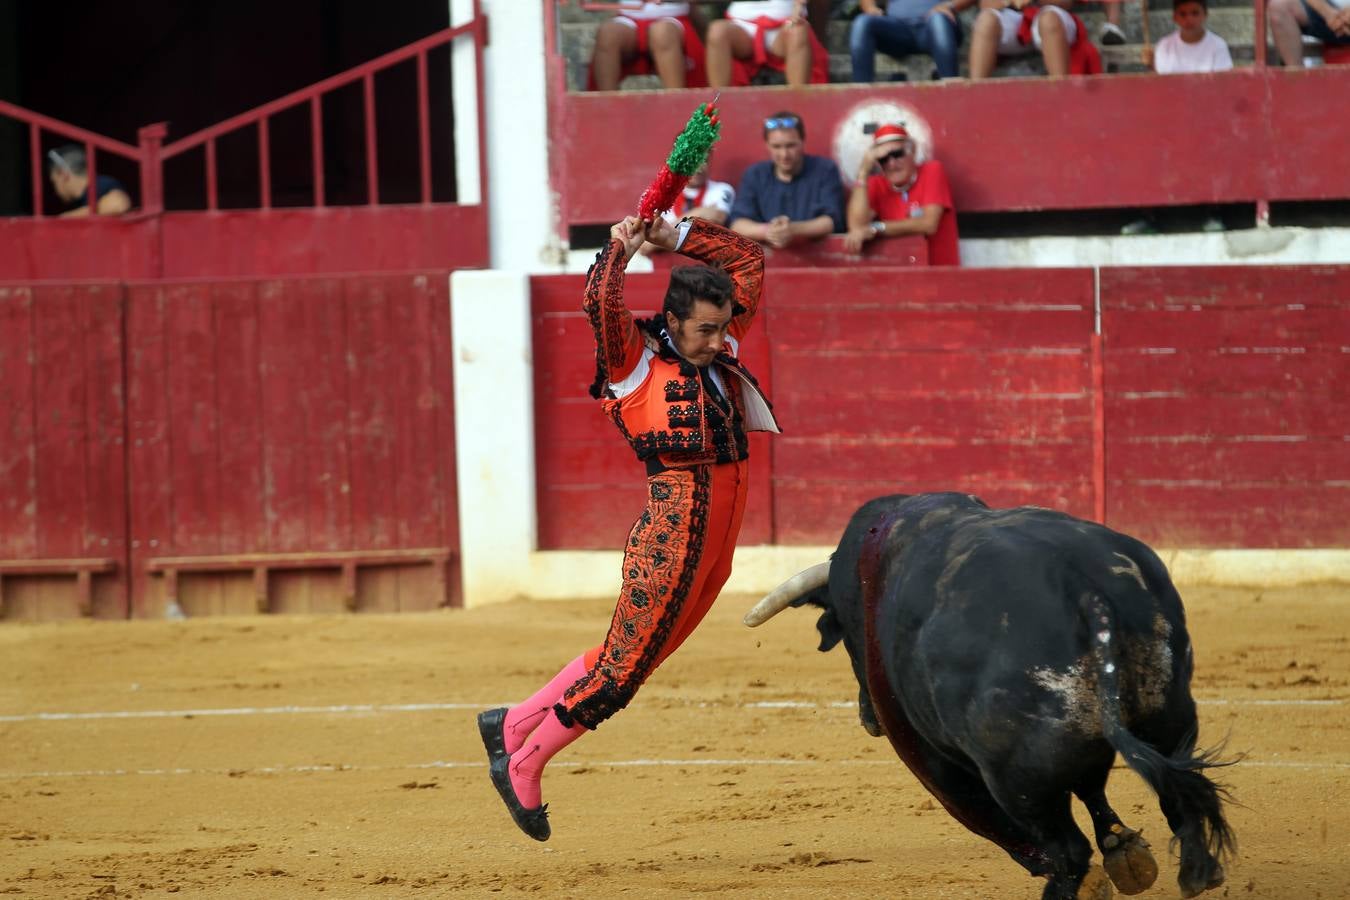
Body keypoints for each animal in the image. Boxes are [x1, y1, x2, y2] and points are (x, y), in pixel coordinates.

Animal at [745, 496, 1236, 895]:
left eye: (846, 636)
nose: (870, 720)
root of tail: (1083, 589)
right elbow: (1093, 788)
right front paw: (1123, 849)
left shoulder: (933, 757)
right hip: (1169, 719)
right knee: (1178, 796)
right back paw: (1198, 875)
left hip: (1011, 774)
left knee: (1067, 850)